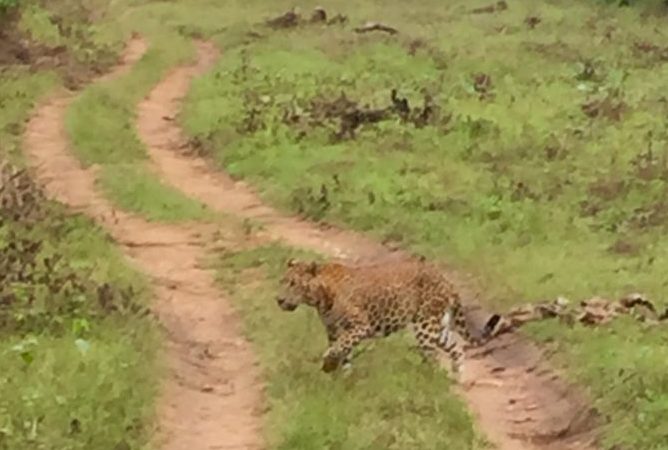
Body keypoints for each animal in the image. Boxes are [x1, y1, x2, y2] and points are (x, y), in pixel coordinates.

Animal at [274, 256, 498, 380]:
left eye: (294, 283)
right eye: (283, 281)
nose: (278, 299)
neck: (320, 298)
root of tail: (445, 280)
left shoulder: (359, 326)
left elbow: (339, 347)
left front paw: (329, 364)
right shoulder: (333, 330)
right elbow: (343, 352)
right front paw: (341, 377)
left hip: (425, 326)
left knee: (432, 357)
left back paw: (427, 382)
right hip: (438, 326)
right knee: (456, 348)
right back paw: (456, 377)